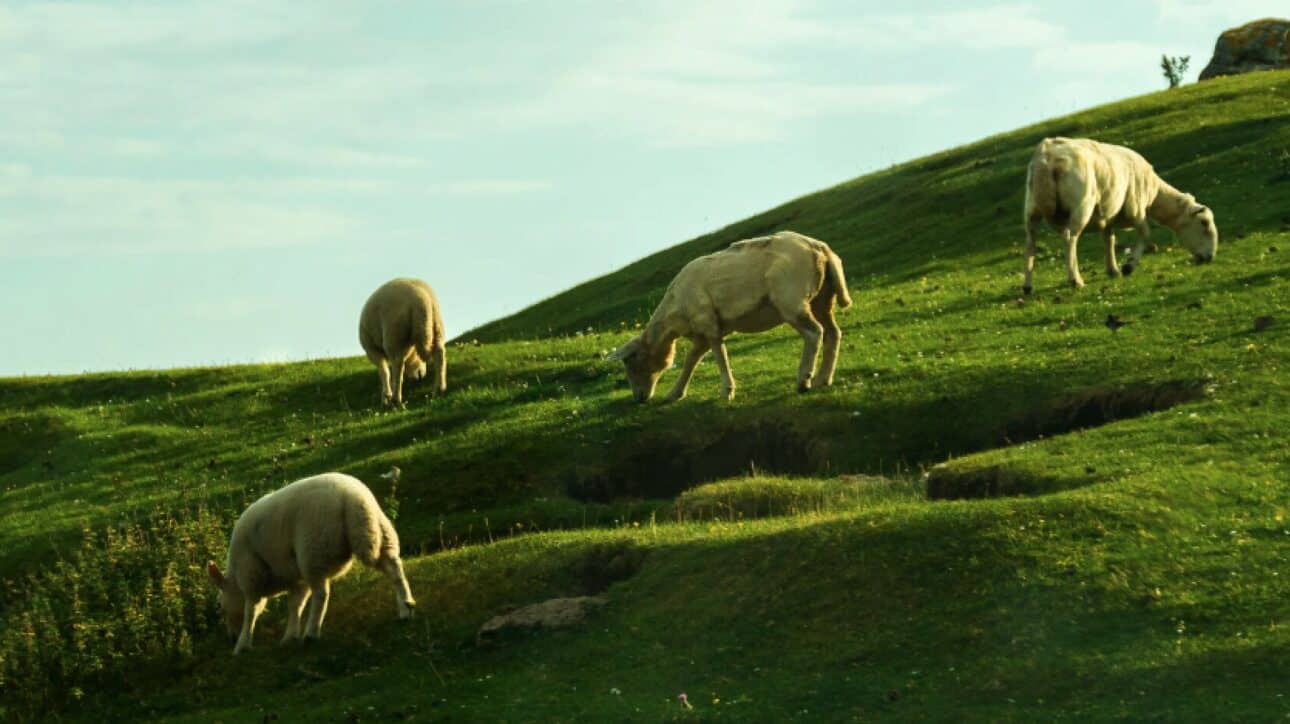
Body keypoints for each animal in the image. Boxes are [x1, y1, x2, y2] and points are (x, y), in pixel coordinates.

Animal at [206, 472, 416, 654]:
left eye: (219, 606)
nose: (231, 638)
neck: (235, 579)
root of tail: (353, 498)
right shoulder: (296, 577)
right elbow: (295, 605)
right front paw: (290, 636)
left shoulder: (251, 575)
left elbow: (251, 611)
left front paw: (242, 645)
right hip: (380, 533)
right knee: (394, 568)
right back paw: (406, 607)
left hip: (313, 550)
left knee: (322, 594)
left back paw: (312, 633)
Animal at [358, 277, 446, 406]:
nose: (421, 376)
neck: (411, 351)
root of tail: (420, 299)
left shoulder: (371, 349)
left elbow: (384, 371)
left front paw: (386, 397)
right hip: (436, 323)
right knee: (439, 354)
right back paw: (439, 389)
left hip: (394, 334)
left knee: (397, 366)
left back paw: (396, 399)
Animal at [608, 230, 852, 403]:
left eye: (631, 364)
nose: (639, 399)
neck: (673, 316)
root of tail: (819, 247)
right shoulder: (701, 332)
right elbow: (691, 360)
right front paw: (675, 393)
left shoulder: (707, 324)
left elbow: (719, 354)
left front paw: (727, 391)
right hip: (822, 297)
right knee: (833, 333)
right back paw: (823, 379)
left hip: (791, 299)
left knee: (814, 333)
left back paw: (804, 380)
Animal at [1022, 137, 1217, 293]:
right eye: (1204, 223)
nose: (1210, 258)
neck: (1154, 193)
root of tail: (1047, 156)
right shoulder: (1136, 208)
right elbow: (1145, 233)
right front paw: (1128, 266)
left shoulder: (1107, 214)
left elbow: (1109, 239)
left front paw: (1113, 270)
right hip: (1082, 204)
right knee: (1070, 238)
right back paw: (1075, 280)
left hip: (1032, 208)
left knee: (1031, 243)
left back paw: (1027, 286)